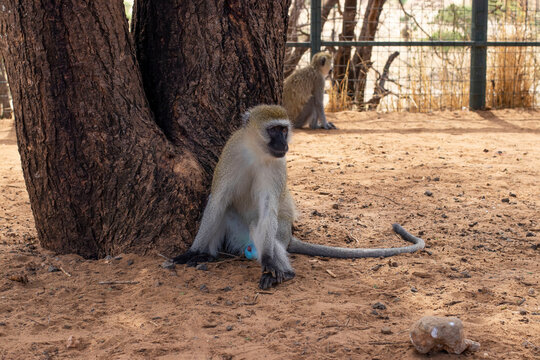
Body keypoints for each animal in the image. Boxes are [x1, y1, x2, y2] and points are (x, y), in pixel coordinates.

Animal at [172, 105, 422, 290]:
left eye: (284, 130)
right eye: (274, 130)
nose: (284, 143)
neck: (256, 152)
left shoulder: (277, 166)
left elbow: (268, 209)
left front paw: (270, 262)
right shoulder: (230, 153)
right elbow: (218, 200)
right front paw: (193, 251)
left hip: (281, 232)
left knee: (263, 228)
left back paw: (282, 272)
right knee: (225, 212)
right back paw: (207, 256)